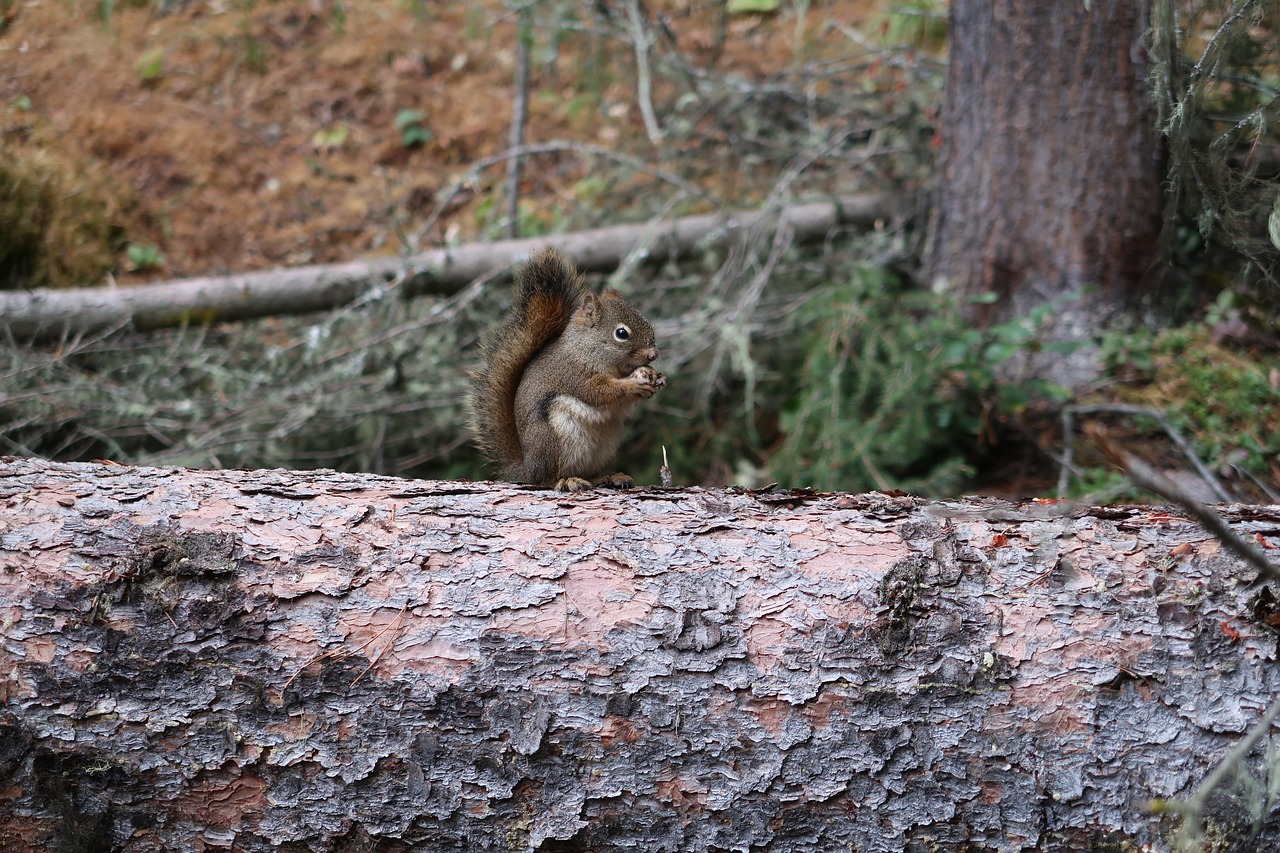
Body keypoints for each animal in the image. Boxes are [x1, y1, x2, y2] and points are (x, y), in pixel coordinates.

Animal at [471, 244, 670, 491]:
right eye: (621, 333)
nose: (653, 354)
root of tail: (526, 468)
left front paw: (658, 378)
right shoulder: (573, 373)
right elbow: (596, 392)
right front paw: (633, 384)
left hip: (605, 446)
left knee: (589, 472)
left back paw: (608, 477)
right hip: (553, 439)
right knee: (545, 479)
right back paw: (566, 480)